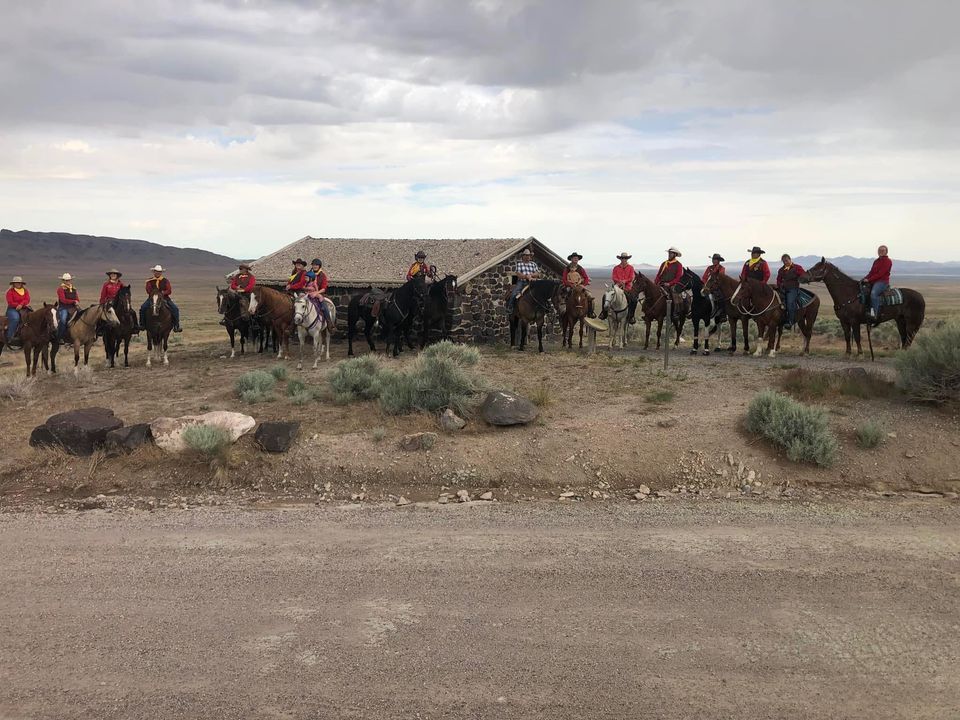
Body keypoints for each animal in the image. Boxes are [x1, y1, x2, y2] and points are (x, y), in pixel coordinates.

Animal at [800, 258, 928, 354]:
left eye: (817, 268)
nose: (802, 277)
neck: (849, 293)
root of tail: (921, 297)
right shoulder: (844, 321)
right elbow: (847, 336)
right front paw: (848, 353)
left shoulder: (854, 321)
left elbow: (857, 337)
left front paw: (860, 354)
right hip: (900, 320)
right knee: (904, 337)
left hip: (912, 322)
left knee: (909, 337)